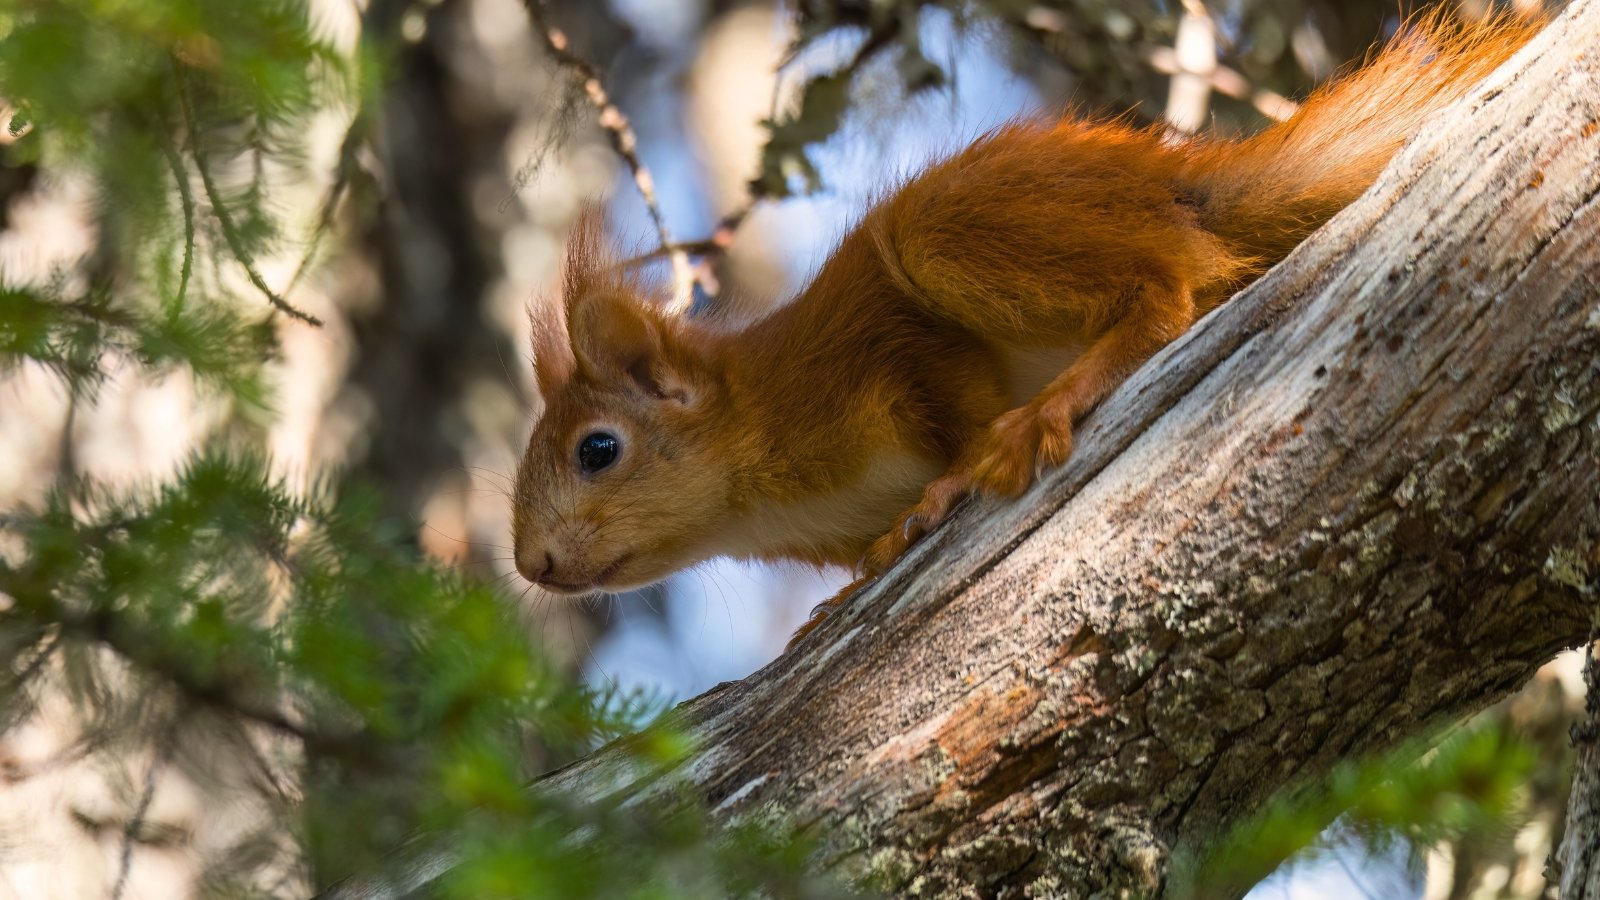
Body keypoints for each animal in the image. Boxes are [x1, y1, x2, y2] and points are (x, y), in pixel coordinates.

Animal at [510, 12, 1538, 636]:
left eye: (598, 450)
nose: (533, 565)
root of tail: (1176, 185)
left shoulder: (885, 357)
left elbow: (956, 406)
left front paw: (948, 483)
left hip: (951, 232)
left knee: (1168, 285)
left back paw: (1053, 404)